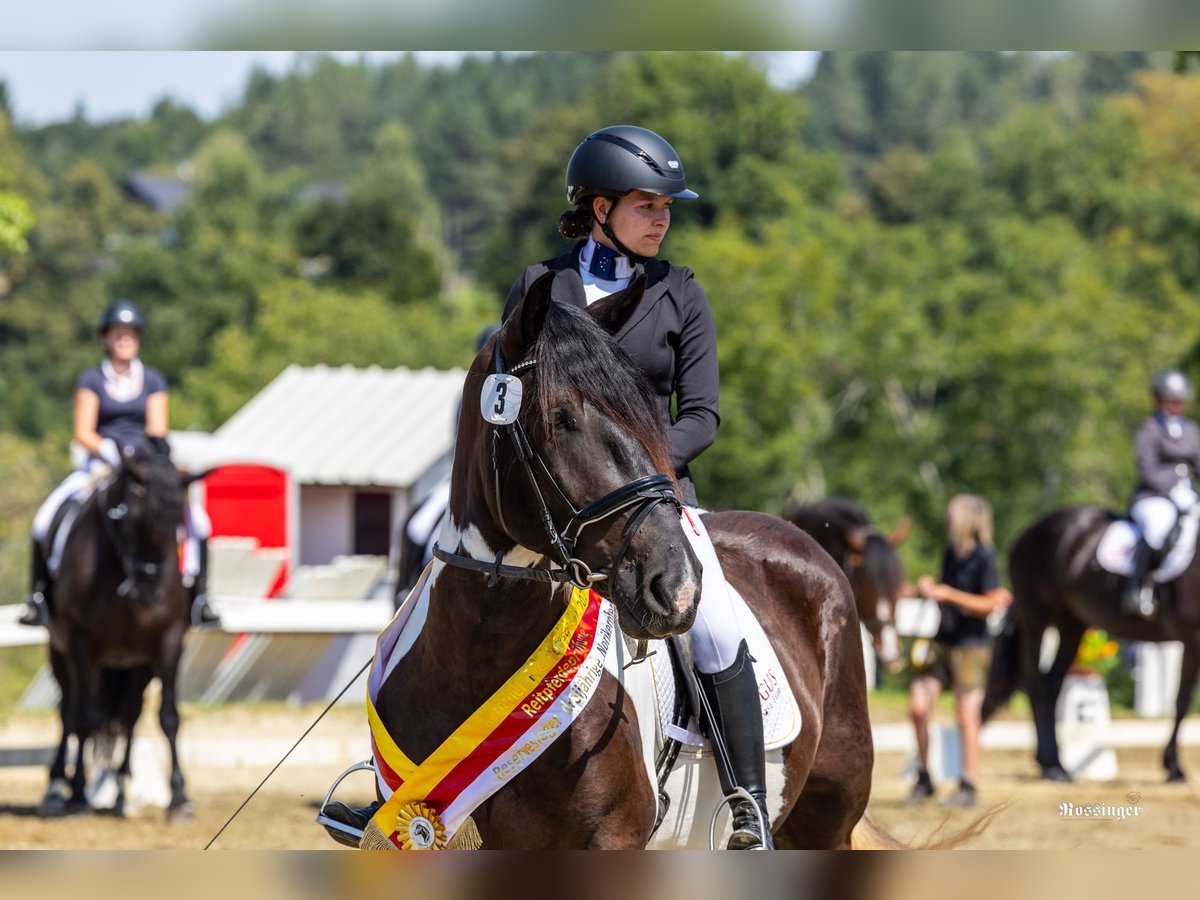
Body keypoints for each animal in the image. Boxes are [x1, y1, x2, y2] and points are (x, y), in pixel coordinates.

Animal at [39, 434, 202, 820]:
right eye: (130, 518)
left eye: (179, 522)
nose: (148, 590)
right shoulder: (82, 643)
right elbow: (85, 716)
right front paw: (77, 795)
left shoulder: (168, 642)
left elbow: (169, 716)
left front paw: (179, 798)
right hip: (60, 653)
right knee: (68, 710)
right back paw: (57, 788)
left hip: (137, 664)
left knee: (130, 714)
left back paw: (121, 794)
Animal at [364, 271, 883, 849]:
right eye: (562, 418)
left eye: (646, 416)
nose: (677, 586)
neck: (483, 655)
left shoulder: (611, 837)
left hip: (826, 819)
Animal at [984, 504, 1200, 787]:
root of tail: (1027, 531)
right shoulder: (1193, 636)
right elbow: (1182, 700)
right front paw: (1174, 767)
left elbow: (1182, 700)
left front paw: (1173, 766)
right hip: (1036, 619)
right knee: (1036, 683)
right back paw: (1053, 766)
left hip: (1071, 624)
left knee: (1052, 683)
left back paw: (1052, 762)